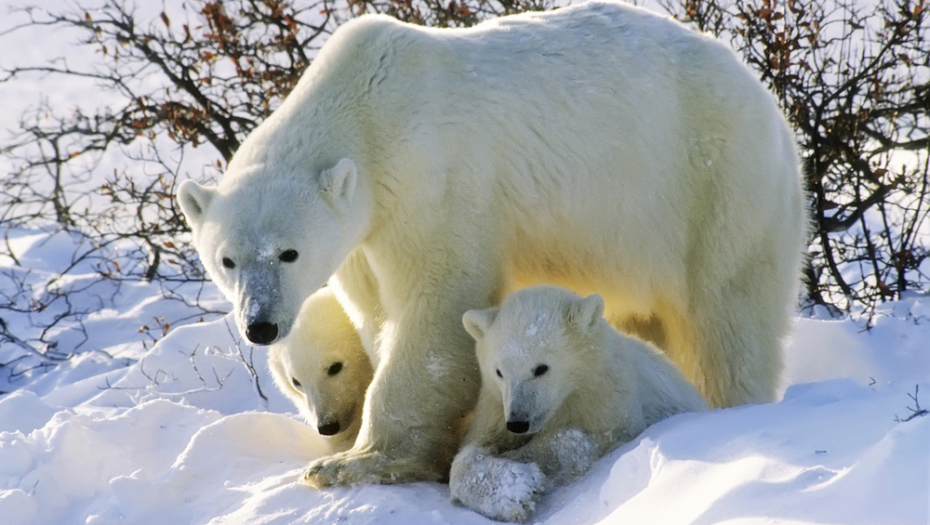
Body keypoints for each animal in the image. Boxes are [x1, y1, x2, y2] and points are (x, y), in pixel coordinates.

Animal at [178, 0, 800, 486]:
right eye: (226, 260)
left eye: (289, 252)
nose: (261, 325)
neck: (367, 109)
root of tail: (772, 109)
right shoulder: (362, 237)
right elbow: (376, 316)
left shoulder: (434, 180)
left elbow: (436, 310)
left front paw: (353, 462)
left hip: (714, 189)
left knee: (727, 320)